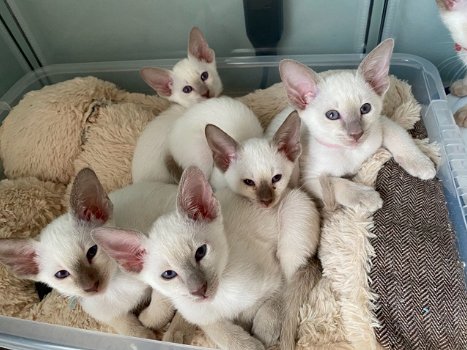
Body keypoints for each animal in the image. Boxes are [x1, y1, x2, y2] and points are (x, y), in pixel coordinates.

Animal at [0, 168, 177, 338]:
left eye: (92, 252)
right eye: (61, 274)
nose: (91, 287)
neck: (114, 287)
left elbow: (162, 298)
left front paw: (148, 322)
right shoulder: (103, 312)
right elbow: (127, 327)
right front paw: (143, 335)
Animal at [91, 167, 286, 350]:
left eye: (201, 252)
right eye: (168, 274)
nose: (200, 290)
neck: (219, 299)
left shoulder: (275, 274)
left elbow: (279, 293)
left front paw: (264, 328)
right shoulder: (197, 313)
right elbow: (216, 328)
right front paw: (245, 343)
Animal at [274, 38, 436, 211]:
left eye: (365, 108)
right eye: (332, 115)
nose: (356, 134)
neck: (350, 152)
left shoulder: (380, 124)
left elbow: (398, 135)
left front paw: (420, 163)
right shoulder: (308, 180)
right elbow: (334, 182)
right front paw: (366, 196)